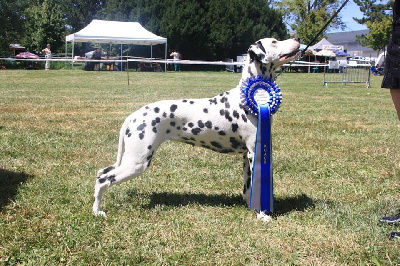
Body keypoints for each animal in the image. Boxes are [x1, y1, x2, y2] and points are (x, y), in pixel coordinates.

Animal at [94, 37, 300, 220]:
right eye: (274, 41)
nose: (298, 39)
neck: (250, 97)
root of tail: (133, 116)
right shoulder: (254, 152)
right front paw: (262, 215)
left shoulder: (246, 155)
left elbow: (248, 186)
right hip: (137, 162)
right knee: (103, 180)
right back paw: (97, 212)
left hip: (129, 159)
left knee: (101, 172)